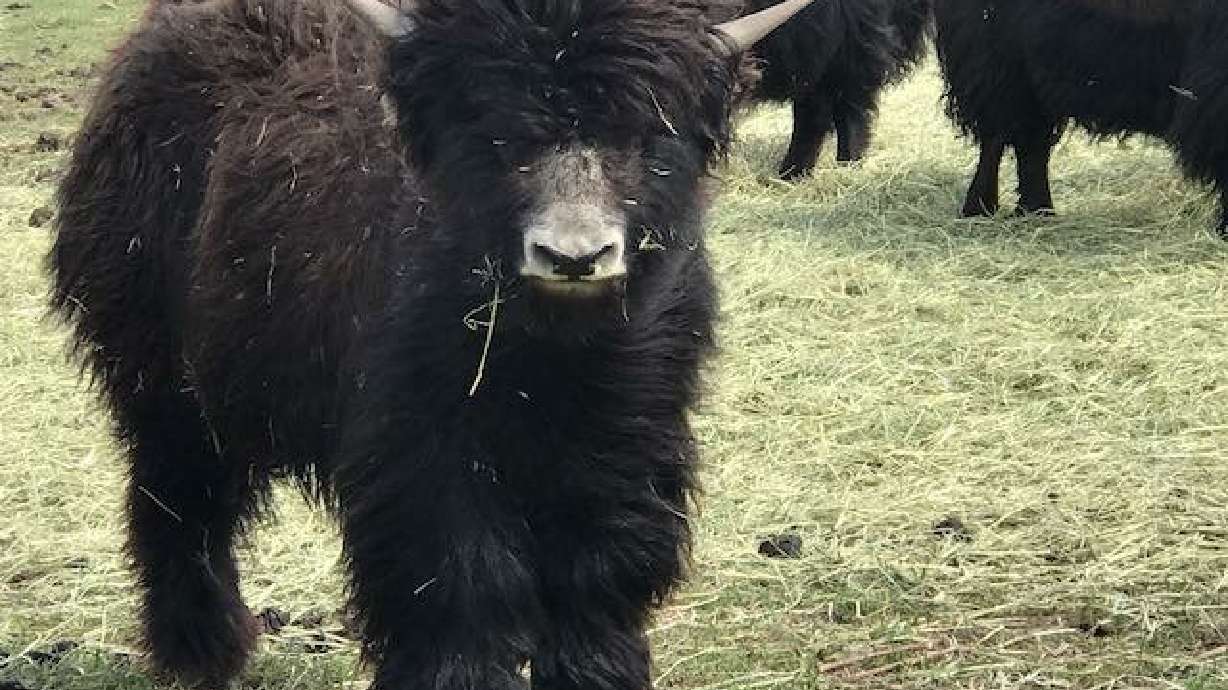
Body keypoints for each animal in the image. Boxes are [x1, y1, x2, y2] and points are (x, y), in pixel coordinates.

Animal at [48, 0, 814, 687]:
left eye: (645, 133)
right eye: (496, 133)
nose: (573, 257)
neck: (546, 356)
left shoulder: (624, 448)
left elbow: (595, 581)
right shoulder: (427, 456)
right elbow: (460, 583)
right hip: (159, 381)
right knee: (178, 502)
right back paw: (202, 653)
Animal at [934, 0, 1228, 236]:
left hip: (1028, 83)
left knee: (1029, 145)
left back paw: (1036, 211)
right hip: (995, 69)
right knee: (998, 141)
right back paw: (981, 209)